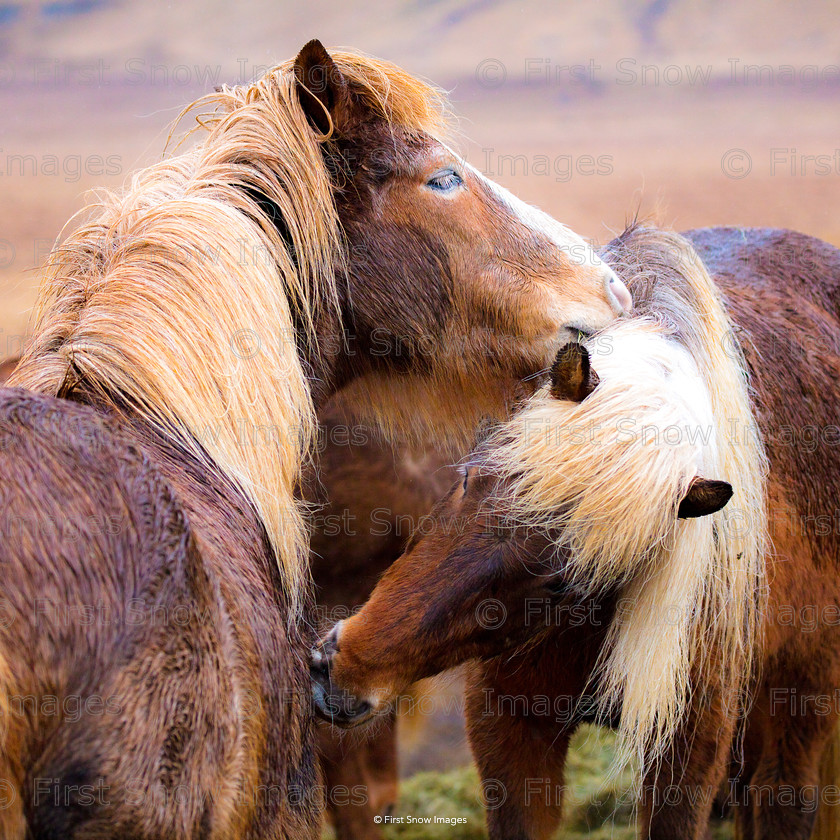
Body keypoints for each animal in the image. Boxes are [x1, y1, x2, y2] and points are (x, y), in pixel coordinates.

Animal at [312, 225, 840, 840]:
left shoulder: (688, 749)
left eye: (560, 582)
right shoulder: (510, 725)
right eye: (469, 477)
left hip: (796, 718)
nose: (341, 673)